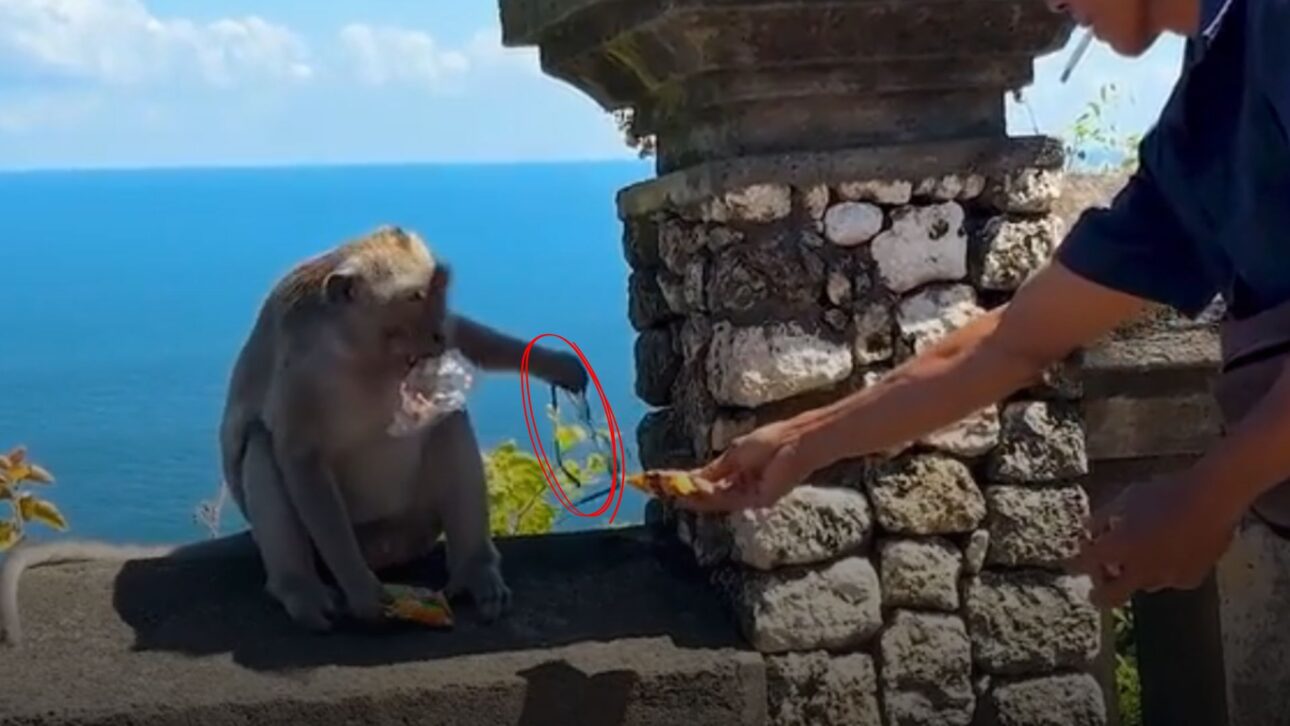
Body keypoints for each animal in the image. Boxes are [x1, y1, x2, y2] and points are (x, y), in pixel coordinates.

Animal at [1, 226, 588, 645]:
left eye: (439, 293)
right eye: (416, 294)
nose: (436, 332)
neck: (363, 350)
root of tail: (388, 543)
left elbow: (466, 342)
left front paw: (555, 364)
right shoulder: (301, 371)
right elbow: (299, 458)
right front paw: (363, 593)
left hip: (412, 524)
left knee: (446, 421)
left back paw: (473, 572)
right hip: (348, 537)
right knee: (262, 449)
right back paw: (300, 590)